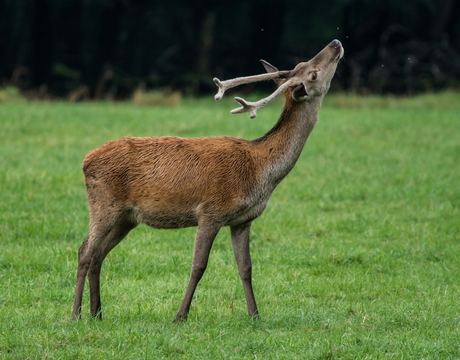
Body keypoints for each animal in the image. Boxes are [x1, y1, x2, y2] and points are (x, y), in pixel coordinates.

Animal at [72, 38, 344, 320]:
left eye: (304, 64)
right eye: (312, 73)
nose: (335, 43)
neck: (260, 171)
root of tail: (86, 160)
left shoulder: (243, 220)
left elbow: (246, 268)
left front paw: (255, 315)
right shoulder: (211, 211)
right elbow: (198, 266)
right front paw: (180, 315)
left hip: (127, 218)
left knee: (98, 254)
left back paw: (97, 312)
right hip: (104, 205)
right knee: (85, 251)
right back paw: (76, 314)